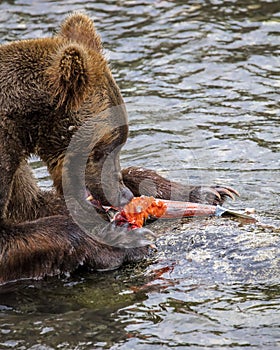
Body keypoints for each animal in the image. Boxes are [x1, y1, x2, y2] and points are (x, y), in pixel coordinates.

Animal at [0, 13, 238, 284]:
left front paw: (206, 191)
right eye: (101, 148)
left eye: (119, 143)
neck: (24, 127)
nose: (123, 195)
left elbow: (35, 203)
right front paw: (127, 242)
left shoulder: (17, 165)